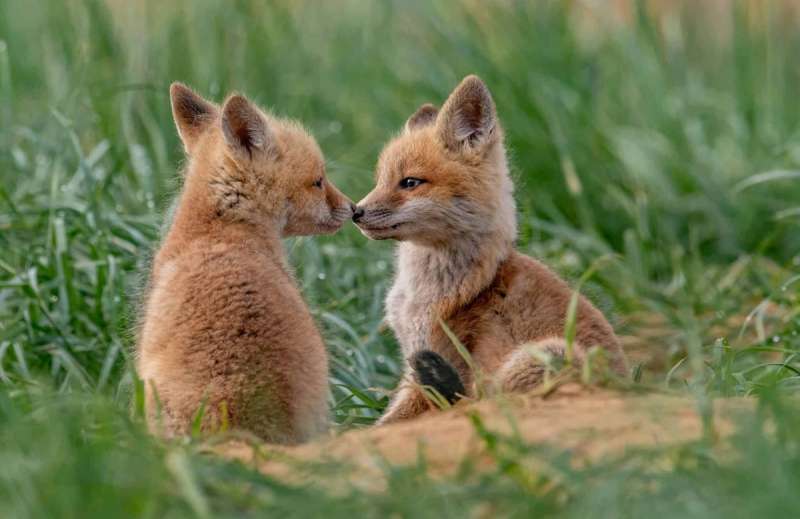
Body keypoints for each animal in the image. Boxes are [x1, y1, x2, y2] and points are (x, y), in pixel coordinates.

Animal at [353, 75, 627, 424]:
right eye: (380, 181)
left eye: (410, 182)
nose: (355, 211)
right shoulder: (413, 361)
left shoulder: (436, 359)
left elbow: (388, 421)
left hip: (546, 355)